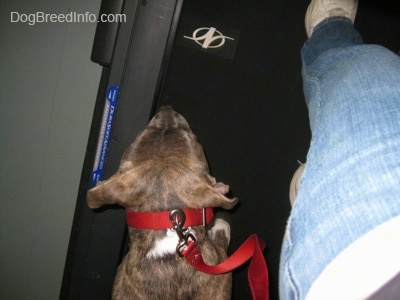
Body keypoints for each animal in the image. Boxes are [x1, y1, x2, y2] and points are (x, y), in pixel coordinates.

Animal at [87, 106, 238, 298]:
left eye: (140, 133)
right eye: (193, 138)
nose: (166, 108)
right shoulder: (221, 265)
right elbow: (222, 234)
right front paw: (220, 223)